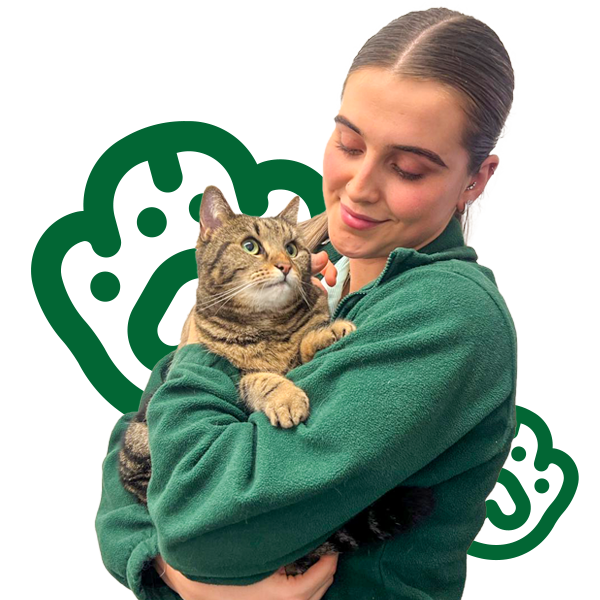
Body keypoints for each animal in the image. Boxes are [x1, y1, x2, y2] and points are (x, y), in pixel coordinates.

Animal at [118, 184, 436, 576]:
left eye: (292, 248)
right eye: (250, 246)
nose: (285, 266)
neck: (268, 325)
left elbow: (306, 341)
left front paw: (331, 332)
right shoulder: (233, 376)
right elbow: (262, 379)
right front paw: (286, 398)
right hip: (140, 438)